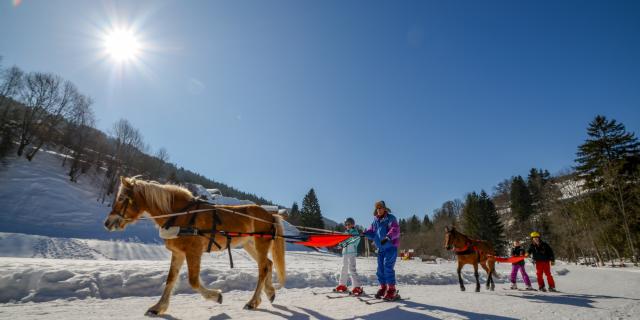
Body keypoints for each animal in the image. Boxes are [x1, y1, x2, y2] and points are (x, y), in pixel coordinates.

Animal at [104, 178, 284, 316]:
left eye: (122, 198)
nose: (107, 223)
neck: (180, 215)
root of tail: (270, 215)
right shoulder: (178, 253)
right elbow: (170, 279)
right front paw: (158, 307)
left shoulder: (193, 252)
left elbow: (194, 281)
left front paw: (216, 296)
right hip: (249, 244)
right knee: (267, 264)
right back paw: (269, 292)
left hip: (260, 243)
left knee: (263, 268)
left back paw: (252, 302)